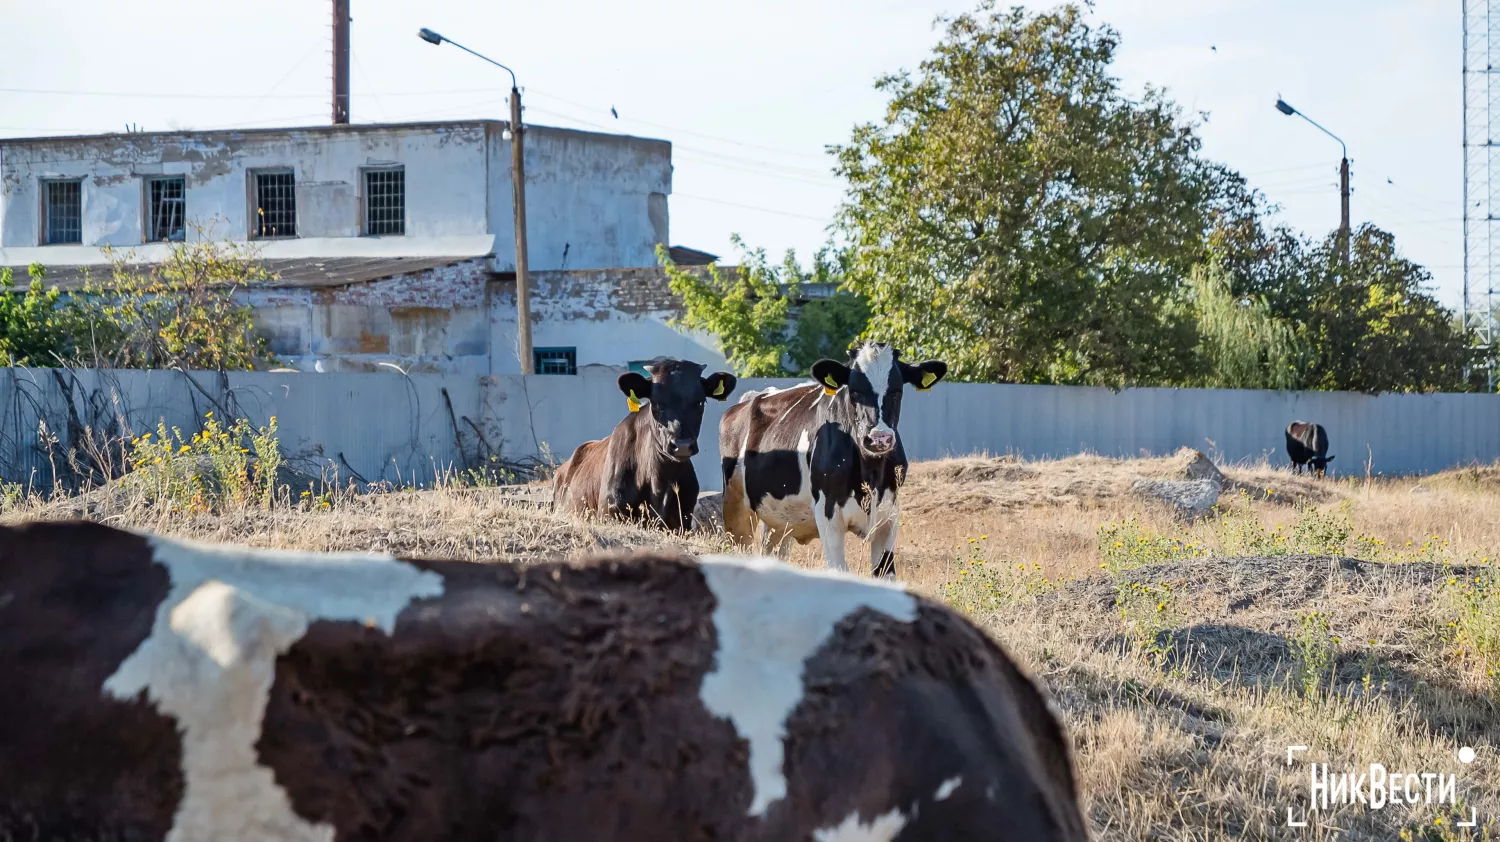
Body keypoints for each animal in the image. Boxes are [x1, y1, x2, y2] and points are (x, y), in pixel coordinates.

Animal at [717, 337, 948, 573]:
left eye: (897, 390)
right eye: (854, 391)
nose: (879, 438)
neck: (870, 473)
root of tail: (749, 399)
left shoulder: (889, 516)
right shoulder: (829, 516)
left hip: (780, 522)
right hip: (736, 510)